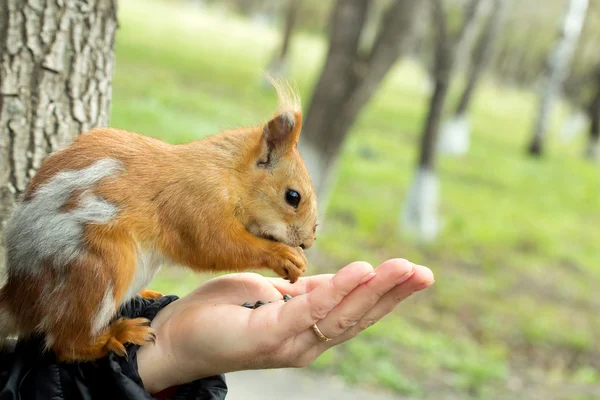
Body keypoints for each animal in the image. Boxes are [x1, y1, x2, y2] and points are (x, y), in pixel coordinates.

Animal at [0, 81, 318, 362]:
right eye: (293, 196)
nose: (308, 242)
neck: (228, 173)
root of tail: (19, 295)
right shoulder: (196, 204)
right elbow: (213, 247)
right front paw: (283, 256)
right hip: (99, 268)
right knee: (67, 345)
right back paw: (115, 336)